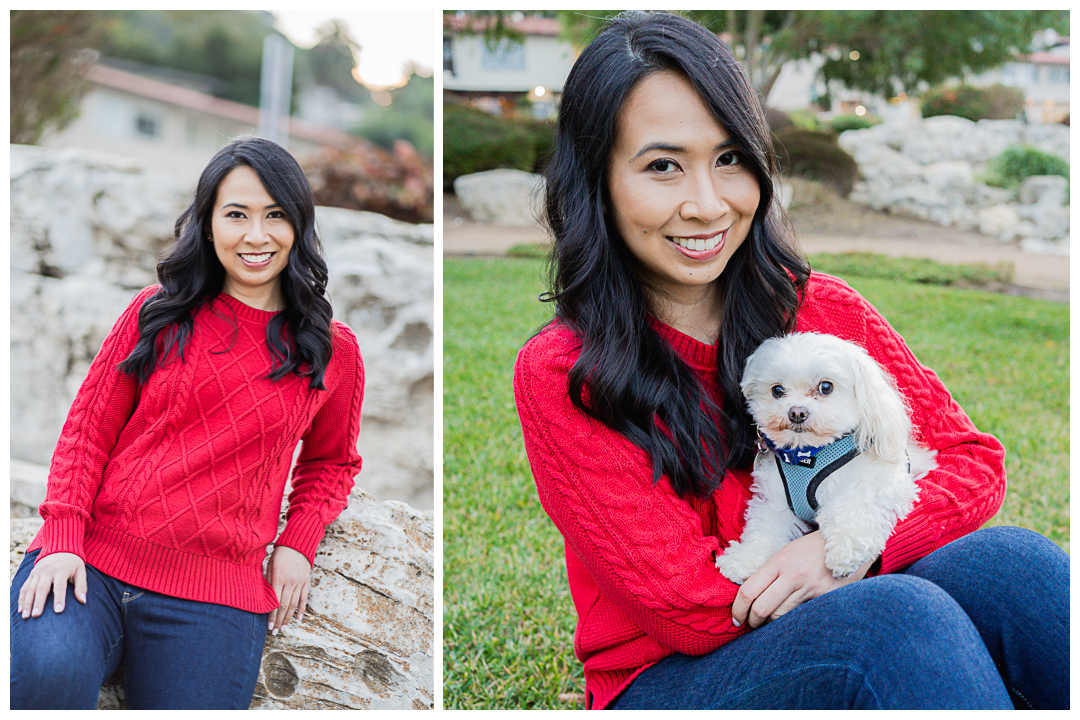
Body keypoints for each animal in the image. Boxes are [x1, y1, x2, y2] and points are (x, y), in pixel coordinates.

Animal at [717, 332, 937, 587]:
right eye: (777, 390)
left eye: (825, 387)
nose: (796, 412)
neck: (808, 455)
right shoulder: (776, 500)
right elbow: (764, 528)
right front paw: (744, 560)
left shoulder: (883, 482)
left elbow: (855, 507)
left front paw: (846, 551)